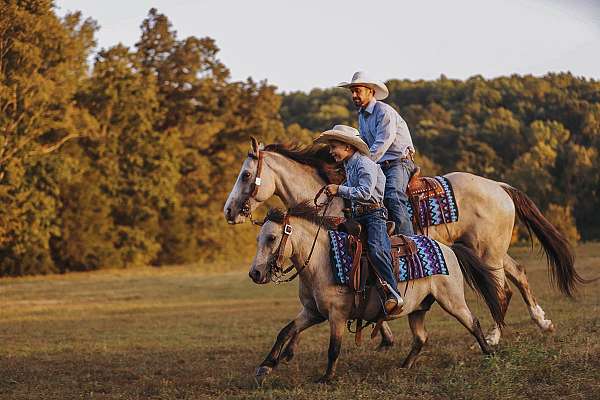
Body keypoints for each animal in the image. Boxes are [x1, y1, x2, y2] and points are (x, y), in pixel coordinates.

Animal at [223, 138, 584, 346]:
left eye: (245, 175)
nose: (229, 210)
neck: (333, 200)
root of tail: (499, 185)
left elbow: (375, 279)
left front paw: (383, 331)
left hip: (487, 252)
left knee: (502, 288)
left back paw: (494, 337)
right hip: (490, 250)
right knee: (519, 275)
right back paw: (542, 322)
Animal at [248, 205, 506, 382]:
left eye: (271, 238)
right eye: (259, 238)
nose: (255, 273)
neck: (322, 260)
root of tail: (448, 248)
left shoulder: (337, 315)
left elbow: (333, 348)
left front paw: (326, 378)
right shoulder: (313, 312)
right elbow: (285, 331)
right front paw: (265, 366)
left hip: (452, 300)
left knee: (473, 322)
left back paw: (489, 354)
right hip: (418, 308)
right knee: (421, 337)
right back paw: (404, 366)